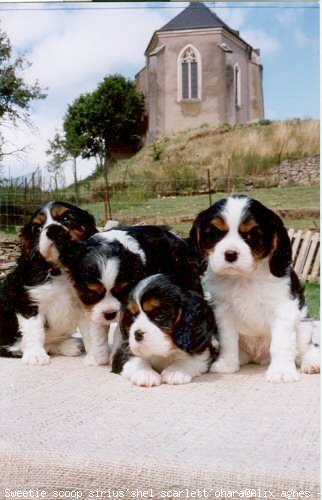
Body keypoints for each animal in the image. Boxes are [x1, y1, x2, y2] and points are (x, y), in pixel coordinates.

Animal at [0, 200, 108, 368]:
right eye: (38, 228)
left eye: (66, 218)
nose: (52, 229)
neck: (60, 269)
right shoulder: (28, 303)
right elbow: (35, 331)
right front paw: (35, 355)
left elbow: (91, 331)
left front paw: (95, 354)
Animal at [189, 195, 320, 382]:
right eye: (215, 233)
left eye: (251, 235)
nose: (230, 254)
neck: (245, 277)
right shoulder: (223, 312)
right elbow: (228, 340)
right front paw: (227, 364)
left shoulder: (283, 309)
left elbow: (281, 344)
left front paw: (281, 371)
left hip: (304, 325)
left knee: (306, 348)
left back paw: (311, 363)